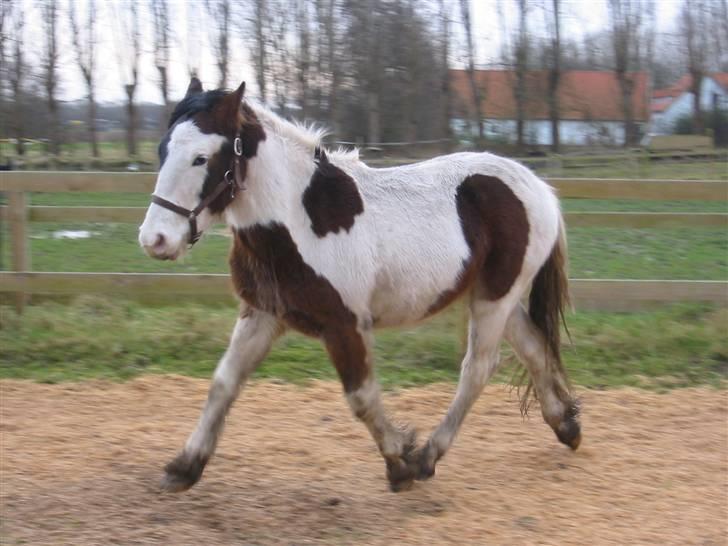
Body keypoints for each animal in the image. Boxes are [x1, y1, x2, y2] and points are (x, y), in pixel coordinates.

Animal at [138, 77, 580, 492]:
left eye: (201, 158)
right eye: (161, 151)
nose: (155, 240)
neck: (300, 219)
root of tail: (540, 188)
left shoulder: (344, 325)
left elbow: (361, 397)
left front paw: (400, 462)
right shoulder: (262, 314)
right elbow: (223, 384)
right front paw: (184, 466)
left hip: (494, 298)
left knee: (477, 368)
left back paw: (428, 457)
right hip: (493, 295)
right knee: (534, 347)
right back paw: (566, 426)